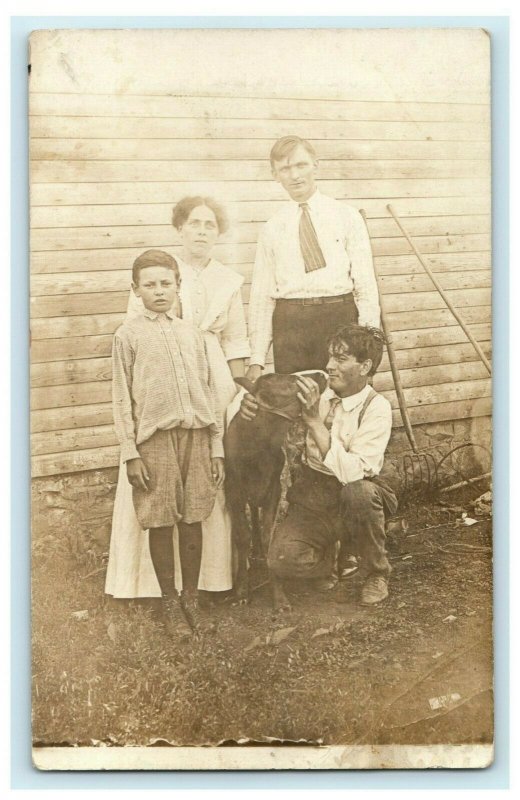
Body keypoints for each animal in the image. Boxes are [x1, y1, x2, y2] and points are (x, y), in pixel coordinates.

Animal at [225, 372, 328, 604]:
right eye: (288, 381)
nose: (320, 373)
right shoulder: (234, 493)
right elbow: (242, 536)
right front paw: (241, 590)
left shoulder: (274, 490)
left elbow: (268, 536)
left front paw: (279, 597)